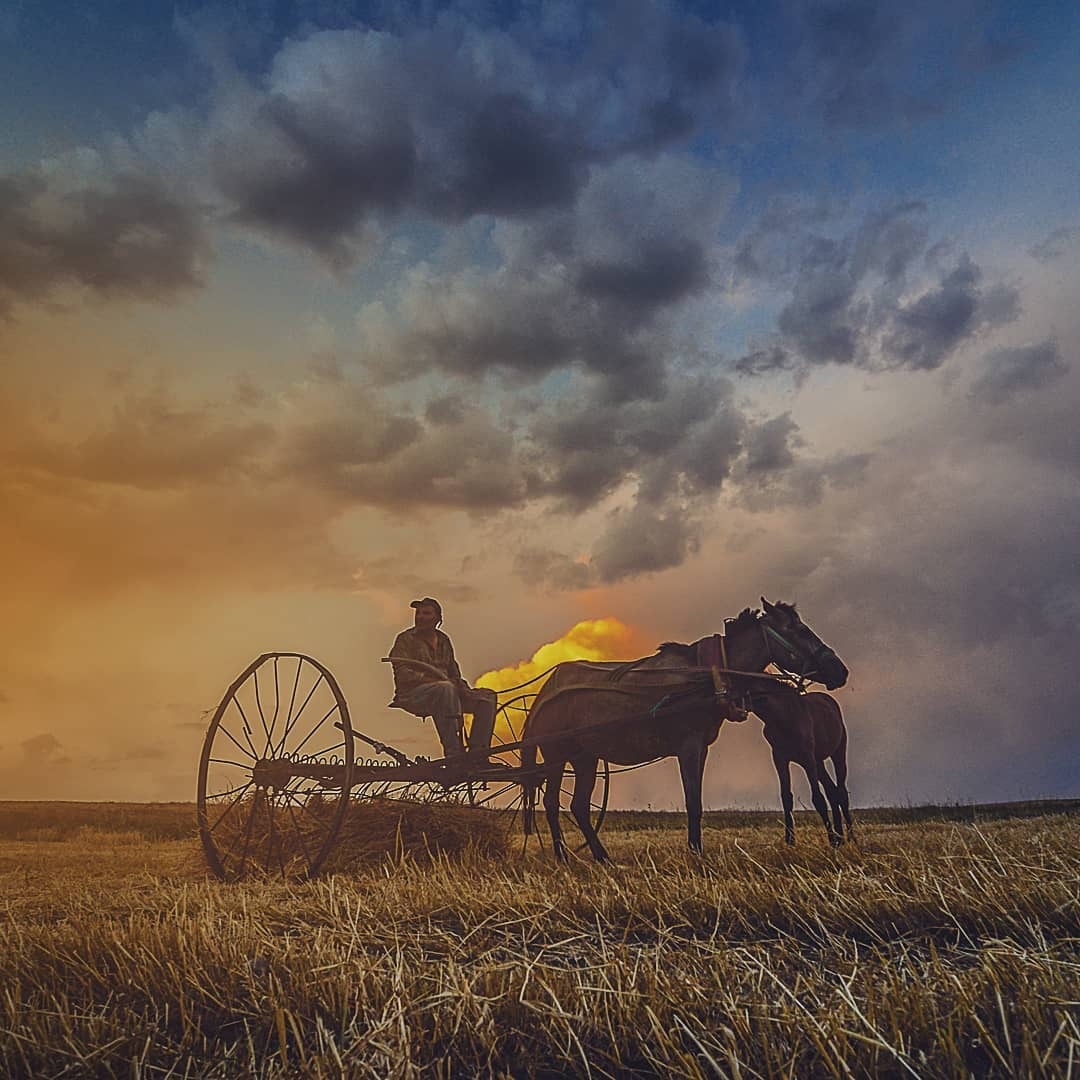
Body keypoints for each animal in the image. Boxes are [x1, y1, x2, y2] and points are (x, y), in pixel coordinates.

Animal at [743, 686, 851, 846]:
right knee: (832, 791)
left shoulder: (808, 759)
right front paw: (790, 841)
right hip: (819, 763)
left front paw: (831, 839)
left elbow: (818, 799)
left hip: (837, 752)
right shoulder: (780, 759)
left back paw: (850, 838)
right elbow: (786, 797)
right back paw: (840, 838)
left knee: (842, 792)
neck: (782, 715)